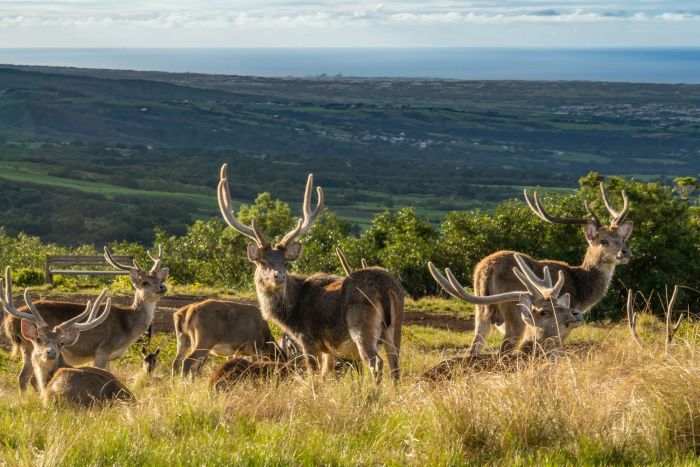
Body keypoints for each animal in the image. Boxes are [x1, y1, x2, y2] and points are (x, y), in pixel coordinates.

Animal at [4, 247, 169, 394]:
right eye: (145, 282)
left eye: (159, 279)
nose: (163, 287)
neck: (127, 326)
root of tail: (8, 321)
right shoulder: (103, 348)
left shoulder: (109, 356)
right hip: (28, 346)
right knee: (25, 377)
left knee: (25, 377)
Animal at [217, 165, 404, 384]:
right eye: (262, 262)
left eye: (286, 263)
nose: (279, 276)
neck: (290, 313)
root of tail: (386, 289)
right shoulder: (328, 348)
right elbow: (326, 373)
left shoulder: (307, 339)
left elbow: (313, 372)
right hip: (396, 327)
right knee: (395, 364)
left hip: (361, 324)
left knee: (376, 363)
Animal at [470, 183, 636, 354]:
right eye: (604, 241)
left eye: (622, 239)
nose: (625, 251)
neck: (581, 290)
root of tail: (486, 270)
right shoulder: (562, 325)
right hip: (515, 314)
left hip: (481, 312)